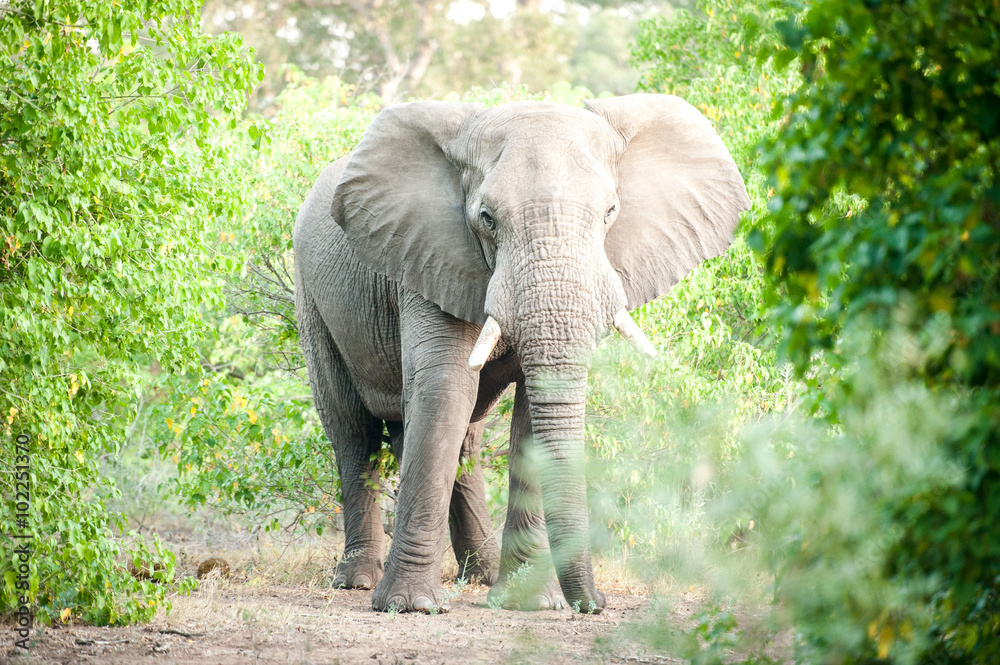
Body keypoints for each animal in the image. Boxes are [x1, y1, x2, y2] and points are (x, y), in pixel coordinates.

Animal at [293, 93, 750, 614]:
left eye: (610, 212)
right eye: (486, 218)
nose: (597, 603)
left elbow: (530, 407)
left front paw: (530, 603)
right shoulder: (426, 255)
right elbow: (445, 388)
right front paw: (410, 606)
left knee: (463, 437)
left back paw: (482, 575)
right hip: (312, 299)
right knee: (354, 432)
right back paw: (356, 581)